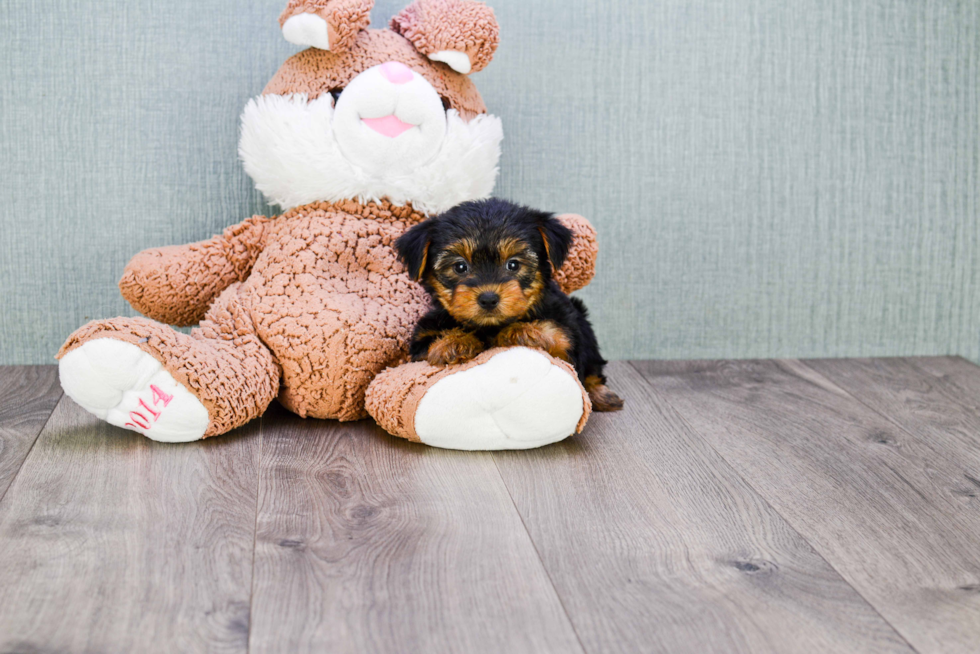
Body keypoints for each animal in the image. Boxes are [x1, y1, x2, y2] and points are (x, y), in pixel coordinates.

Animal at [394, 196, 624, 410]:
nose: (488, 298)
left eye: (513, 264)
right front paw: (453, 342)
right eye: (460, 267)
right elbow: (429, 345)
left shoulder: (568, 332)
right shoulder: (420, 342)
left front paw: (522, 331)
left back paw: (602, 395)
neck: (490, 327)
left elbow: (559, 337)